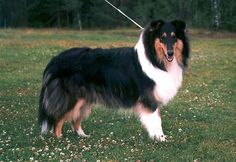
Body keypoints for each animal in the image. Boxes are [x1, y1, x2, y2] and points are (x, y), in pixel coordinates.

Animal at [38, 19, 190, 142]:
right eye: (162, 37)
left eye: (174, 37)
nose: (170, 53)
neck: (156, 60)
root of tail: (54, 60)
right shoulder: (149, 99)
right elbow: (156, 120)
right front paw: (160, 138)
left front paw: (158, 137)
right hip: (71, 98)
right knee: (57, 119)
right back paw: (59, 139)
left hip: (84, 99)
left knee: (75, 120)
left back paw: (83, 136)